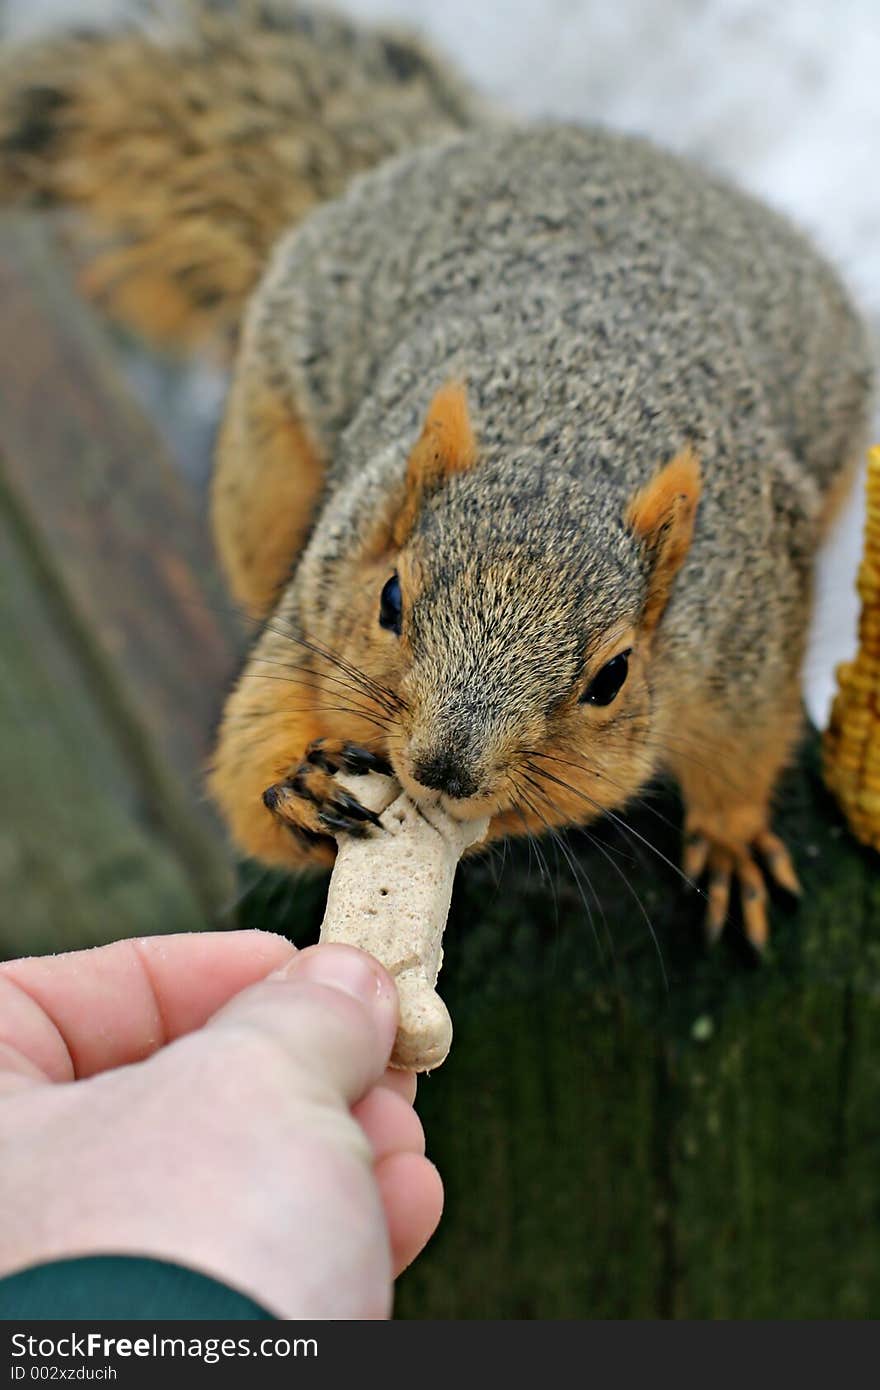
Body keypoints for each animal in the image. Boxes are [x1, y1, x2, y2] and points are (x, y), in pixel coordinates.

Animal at [0, 0, 873, 950]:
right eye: (388, 598)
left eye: (613, 678)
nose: (447, 770)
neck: (562, 438)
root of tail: (457, 149)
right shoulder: (317, 595)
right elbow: (242, 755)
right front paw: (296, 788)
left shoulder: (742, 632)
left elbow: (748, 746)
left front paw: (735, 840)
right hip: (265, 475)